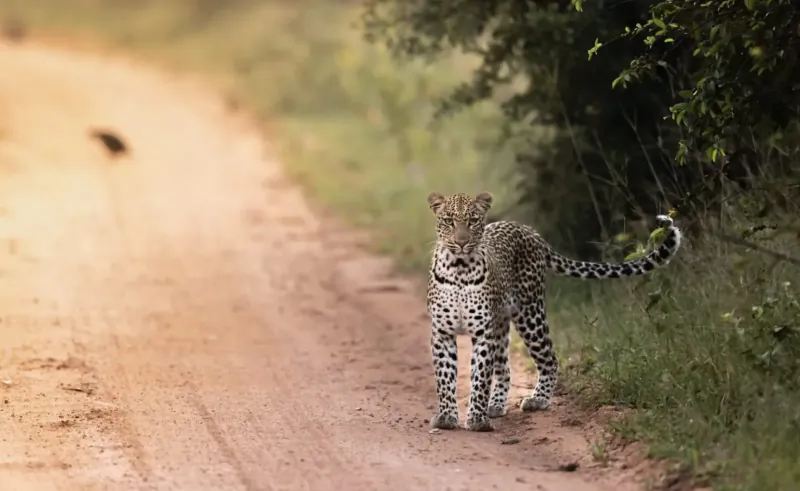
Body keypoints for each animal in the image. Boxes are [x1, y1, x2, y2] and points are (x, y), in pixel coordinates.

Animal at [426, 191, 683, 432]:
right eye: (448, 221)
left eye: (473, 220)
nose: (461, 242)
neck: (459, 269)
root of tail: (531, 232)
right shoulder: (442, 332)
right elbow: (445, 376)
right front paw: (447, 417)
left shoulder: (483, 332)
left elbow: (479, 376)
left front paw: (477, 420)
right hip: (501, 325)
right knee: (505, 368)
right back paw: (496, 405)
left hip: (529, 315)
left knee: (549, 359)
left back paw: (537, 400)